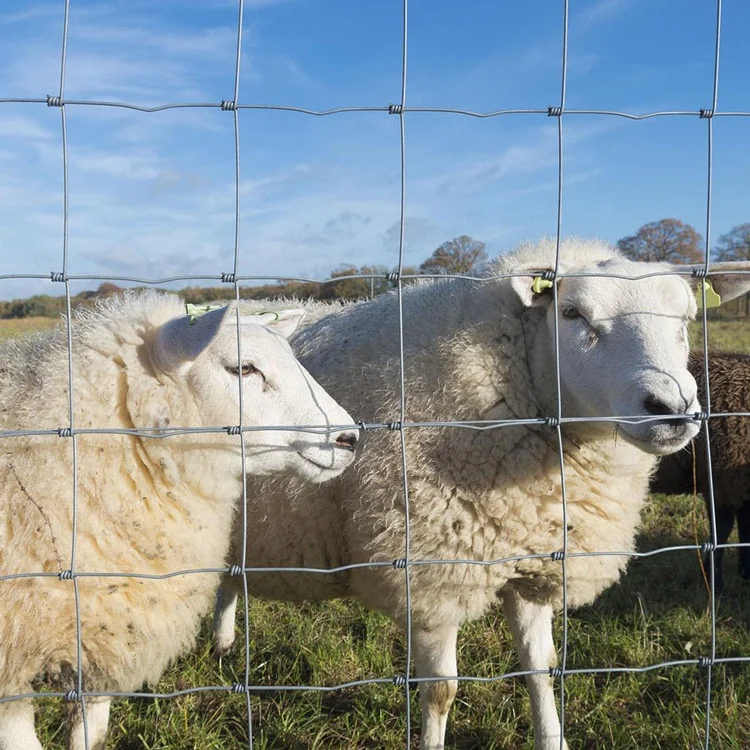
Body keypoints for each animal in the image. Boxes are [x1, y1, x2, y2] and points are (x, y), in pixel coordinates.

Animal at [651, 350, 750, 592]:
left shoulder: (740, 484)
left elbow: (745, 525)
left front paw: (745, 572)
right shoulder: (723, 481)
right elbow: (722, 531)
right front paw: (716, 583)